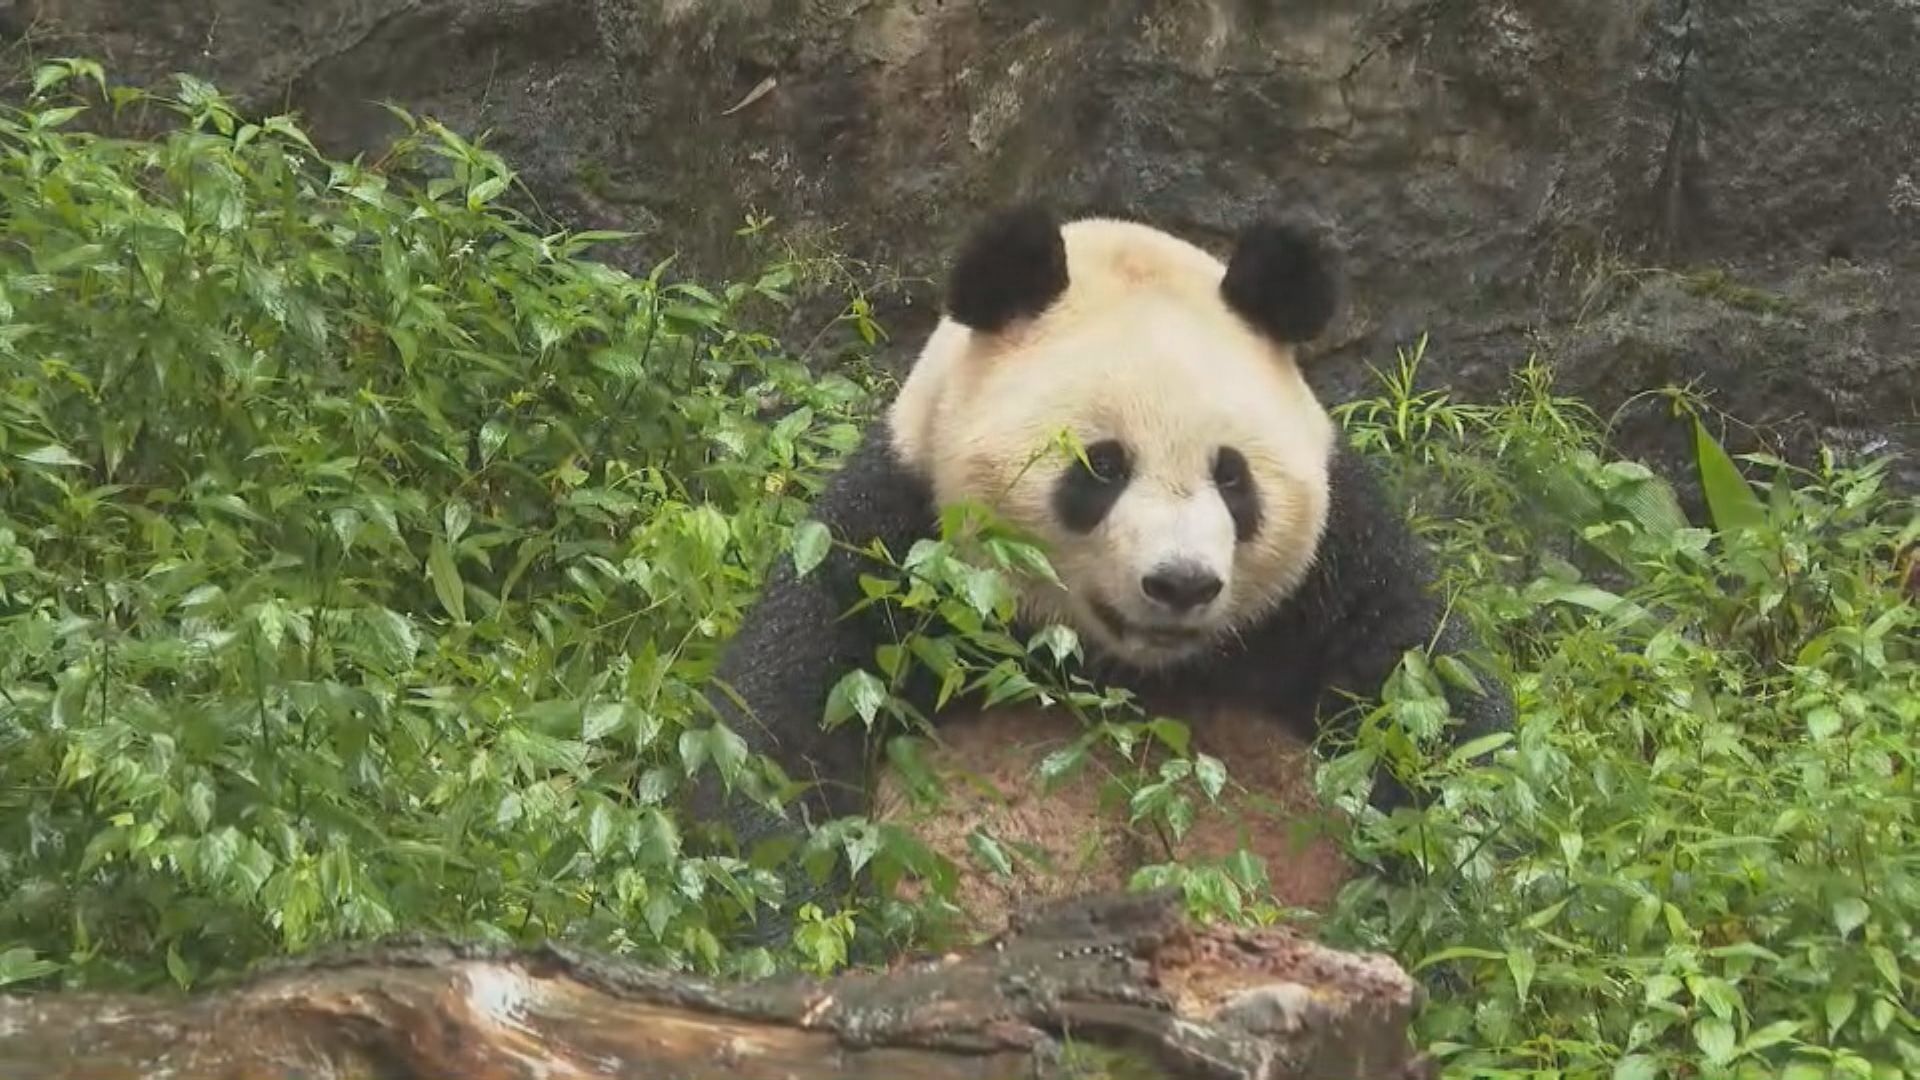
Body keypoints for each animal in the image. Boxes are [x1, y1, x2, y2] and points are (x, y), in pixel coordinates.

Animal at [691, 201, 1512, 941]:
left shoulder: (1334, 570)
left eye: (1233, 477)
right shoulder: (895, 539)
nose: (1181, 583)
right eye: (1103, 467)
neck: (1125, 667)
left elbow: (1435, 712)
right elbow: (778, 736)